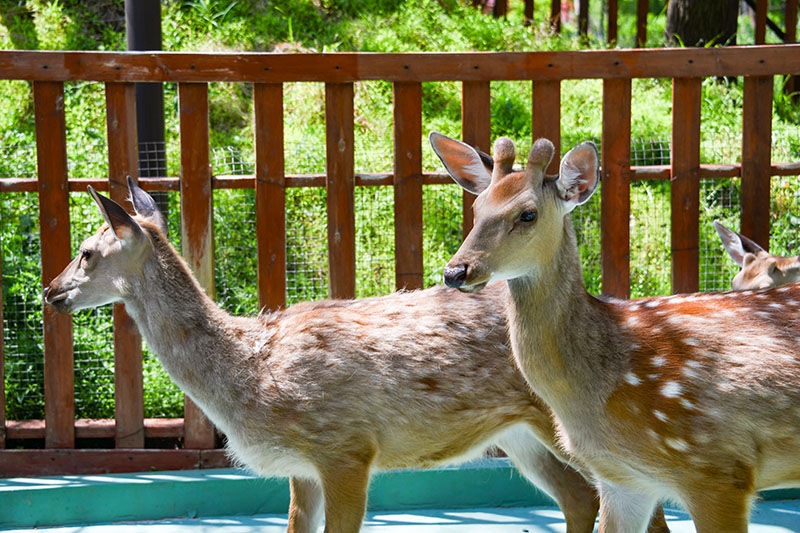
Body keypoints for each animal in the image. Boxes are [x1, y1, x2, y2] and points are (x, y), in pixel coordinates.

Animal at [43, 180, 676, 532]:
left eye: (87, 251)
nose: (49, 291)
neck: (251, 371)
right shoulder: (302, 469)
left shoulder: (345, 447)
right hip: (519, 433)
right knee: (581, 499)